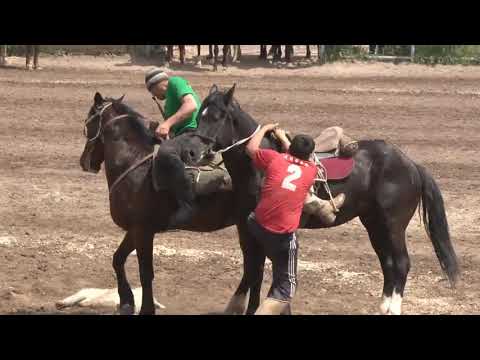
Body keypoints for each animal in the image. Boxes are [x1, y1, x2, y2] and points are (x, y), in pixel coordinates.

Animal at [79, 92, 237, 316]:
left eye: (89, 120)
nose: (84, 161)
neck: (135, 167)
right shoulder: (135, 229)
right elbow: (118, 258)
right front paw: (126, 301)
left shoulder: (143, 231)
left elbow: (145, 273)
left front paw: (146, 308)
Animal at [182, 84, 460, 316]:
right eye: (199, 115)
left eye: (217, 117)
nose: (192, 152)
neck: (259, 165)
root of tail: (411, 164)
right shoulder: (246, 229)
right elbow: (252, 270)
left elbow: (262, 271)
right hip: (374, 224)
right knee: (388, 262)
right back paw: (383, 307)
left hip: (393, 225)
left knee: (401, 263)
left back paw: (392, 309)